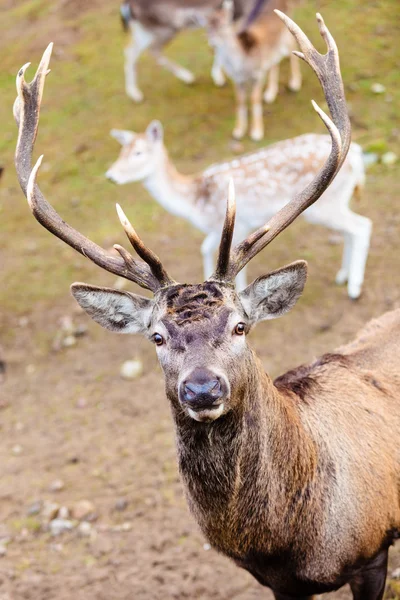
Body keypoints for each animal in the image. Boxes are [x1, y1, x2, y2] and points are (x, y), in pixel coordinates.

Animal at [105, 123, 372, 298]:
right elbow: (205, 249)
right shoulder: (214, 230)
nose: (110, 175)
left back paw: (354, 287)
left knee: (362, 225)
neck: (195, 202)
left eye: (138, 153)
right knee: (351, 229)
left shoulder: (240, 224)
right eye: (121, 151)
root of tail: (358, 156)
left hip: (326, 206)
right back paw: (343, 275)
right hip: (338, 201)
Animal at [208, 0, 302, 140]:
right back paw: (270, 94)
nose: (212, 42)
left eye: (223, 24)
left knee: (292, 47)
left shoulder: (258, 74)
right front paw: (238, 131)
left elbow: (254, 98)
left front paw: (257, 132)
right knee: (274, 59)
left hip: (286, 32)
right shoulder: (237, 79)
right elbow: (240, 101)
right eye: (207, 27)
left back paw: (295, 84)